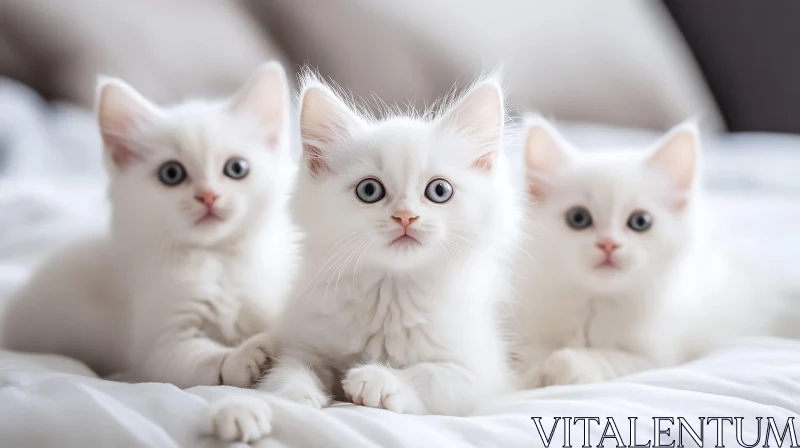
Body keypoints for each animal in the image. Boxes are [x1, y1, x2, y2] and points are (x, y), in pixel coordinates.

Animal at [0, 63, 300, 388]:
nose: (207, 195)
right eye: (171, 173)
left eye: (236, 168)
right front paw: (245, 355)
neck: (217, 260)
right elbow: (204, 359)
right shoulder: (163, 342)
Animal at [209, 73, 520, 440]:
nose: (405, 217)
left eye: (439, 191)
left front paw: (379, 379)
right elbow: (292, 368)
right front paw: (295, 394)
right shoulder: (307, 340)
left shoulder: (483, 374)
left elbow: (433, 376)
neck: (390, 294)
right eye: (369, 191)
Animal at [506, 117, 780, 386]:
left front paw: (563, 367)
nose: (608, 243)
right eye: (578, 218)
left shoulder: (659, 357)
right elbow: (528, 354)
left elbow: (603, 357)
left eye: (640, 222)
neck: (597, 302)